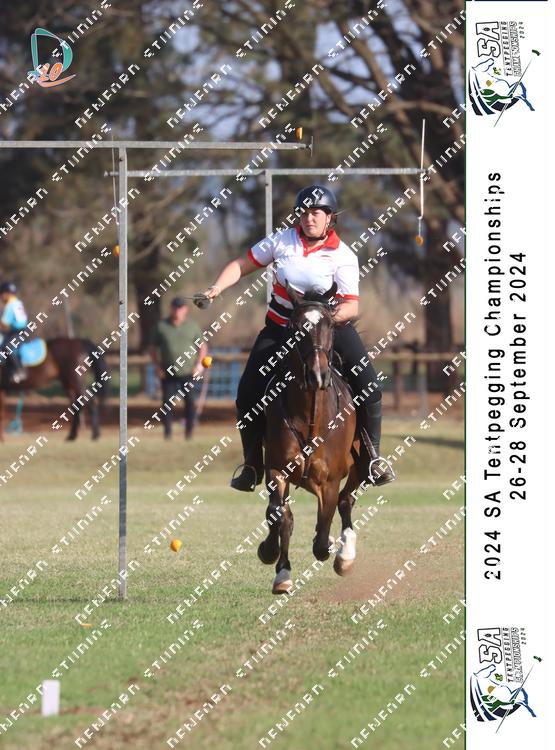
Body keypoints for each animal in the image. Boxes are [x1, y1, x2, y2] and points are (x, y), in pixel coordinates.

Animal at [257, 282, 363, 594]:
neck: (311, 414)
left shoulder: (329, 481)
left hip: (359, 465)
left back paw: (345, 556)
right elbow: (279, 515)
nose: (318, 374)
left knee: (346, 501)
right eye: (294, 326)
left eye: (330, 324)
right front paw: (276, 563)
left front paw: (333, 546)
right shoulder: (277, 469)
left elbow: (322, 537)